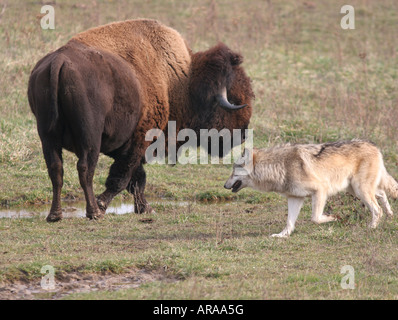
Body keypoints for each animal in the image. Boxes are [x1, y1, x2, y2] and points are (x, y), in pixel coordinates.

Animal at [27, 18, 255, 222]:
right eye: (235, 99)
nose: (243, 134)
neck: (179, 80)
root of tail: (59, 62)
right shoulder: (139, 141)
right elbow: (123, 178)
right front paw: (104, 204)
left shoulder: (130, 146)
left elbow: (136, 179)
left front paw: (145, 208)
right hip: (89, 139)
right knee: (85, 169)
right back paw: (94, 212)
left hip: (47, 137)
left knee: (56, 169)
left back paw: (55, 215)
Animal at [225, 140, 396, 238]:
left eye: (233, 171)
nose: (224, 185)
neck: (279, 166)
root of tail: (374, 146)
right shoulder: (295, 198)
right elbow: (289, 222)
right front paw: (282, 235)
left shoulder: (320, 190)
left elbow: (315, 218)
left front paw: (334, 218)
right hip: (354, 189)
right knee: (382, 194)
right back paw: (390, 215)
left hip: (360, 190)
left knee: (377, 209)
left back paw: (371, 227)